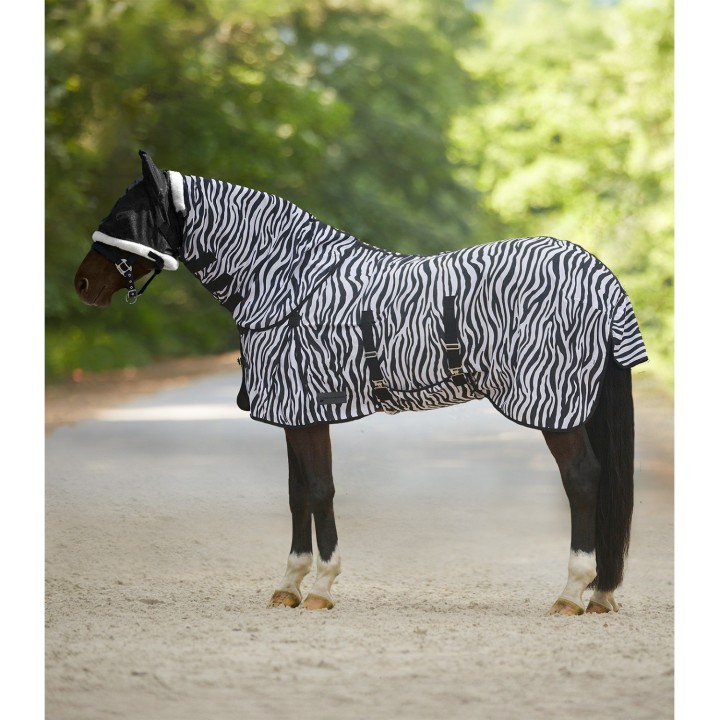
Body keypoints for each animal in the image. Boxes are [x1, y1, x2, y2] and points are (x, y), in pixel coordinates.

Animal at [74, 150, 647, 615]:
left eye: (123, 217)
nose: (81, 284)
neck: (290, 285)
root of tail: (600, 276)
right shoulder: (295, 412)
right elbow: (298, 493)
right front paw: (289, 586)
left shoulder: (307, 410)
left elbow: (320, 490)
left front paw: (322, 588)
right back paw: (600, 593)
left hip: (556, 406)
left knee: (583, 479)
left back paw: (571, 593)